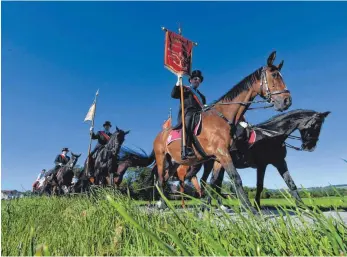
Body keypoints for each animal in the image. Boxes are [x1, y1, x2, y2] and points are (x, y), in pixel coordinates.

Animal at [154, 50, 292, 212]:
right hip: (162, 159)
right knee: (161, 180)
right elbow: (236, 178)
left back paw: (164, 204)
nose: (287, 101)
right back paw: (162, 205)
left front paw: (206, 208)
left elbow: (213, 182)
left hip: (174, 162)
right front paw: (250, 209)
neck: (223, 117)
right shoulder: (222, 153)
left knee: (166, 179)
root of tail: (161, 134)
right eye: (275, 75)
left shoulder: (219, 157)